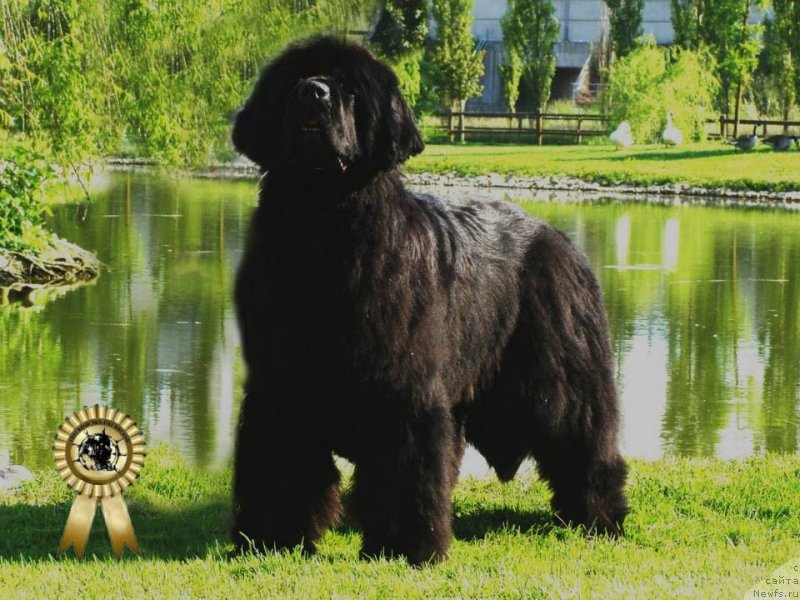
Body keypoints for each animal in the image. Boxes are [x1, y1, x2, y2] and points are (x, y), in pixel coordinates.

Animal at [228, 36, 628, 564]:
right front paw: (273, 536)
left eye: (349, 88)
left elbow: (403, 468)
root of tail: (559, 239)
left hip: (560, 379)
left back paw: (600, 518)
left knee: (584, 441)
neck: (324, 227)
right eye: (295, 78)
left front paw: (404, 546)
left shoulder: (404, 392)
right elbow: (282, 462)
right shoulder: (280, 385)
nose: (314, 92)